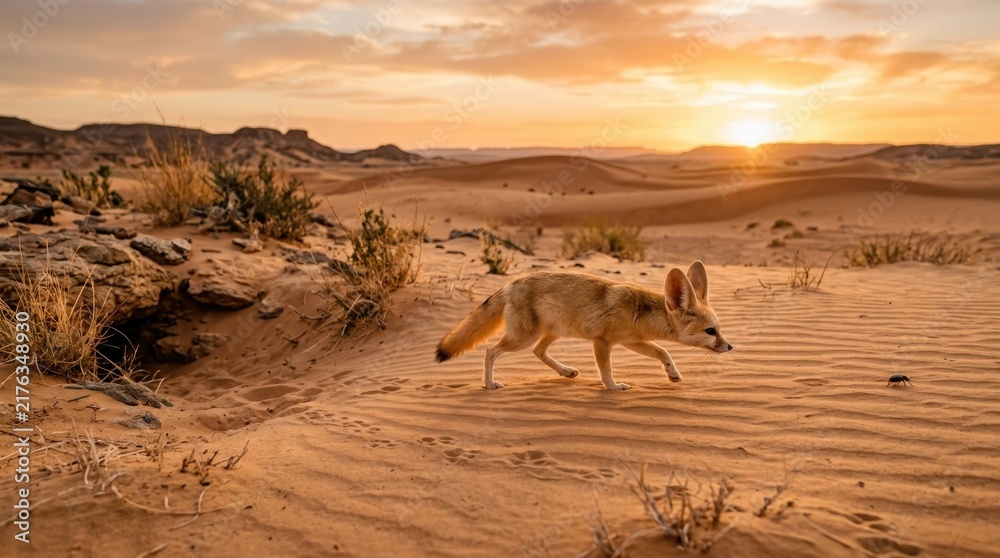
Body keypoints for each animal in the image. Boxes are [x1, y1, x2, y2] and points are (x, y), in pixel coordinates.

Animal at [435, 261, 733, 390]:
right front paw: (613, 388)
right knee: (490, 351)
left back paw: (566, 371)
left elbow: (663, 351)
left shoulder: (631, 341)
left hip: (550, 333)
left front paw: (673, 374)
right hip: (523, 337)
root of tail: (510, 284)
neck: (640, 310)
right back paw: (489, 384)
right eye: (710, 331)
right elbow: (606, 370)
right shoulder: (602, 342)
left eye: (718, 329)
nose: (730, 347)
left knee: (538, 352)